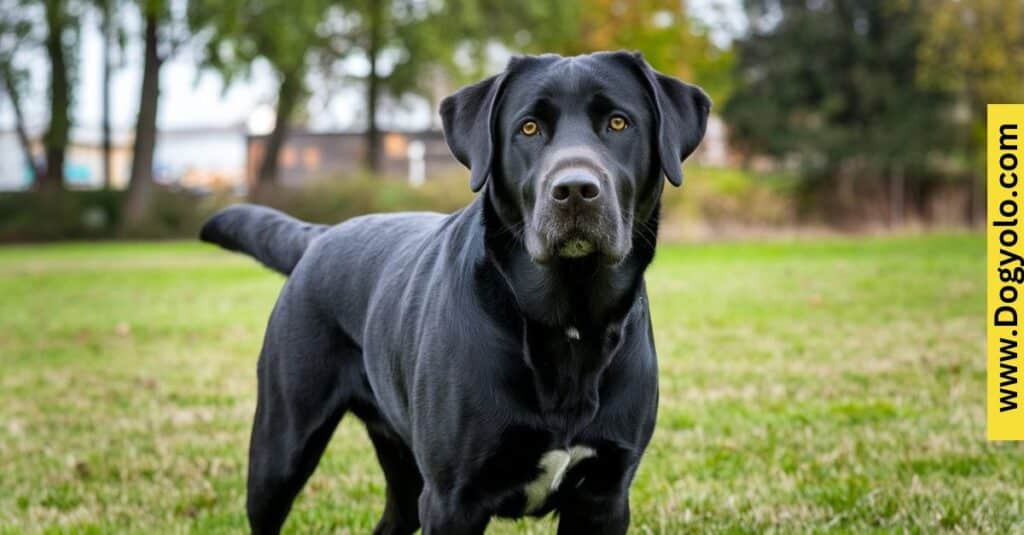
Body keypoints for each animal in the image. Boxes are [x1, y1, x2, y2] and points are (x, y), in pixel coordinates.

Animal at [203, 50, 708, 532]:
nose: (575, 190)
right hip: (281, 448)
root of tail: (320, 236)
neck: (568, 321)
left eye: (619, 123)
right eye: (528, 127)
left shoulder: (605, 496)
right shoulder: (453, 499)